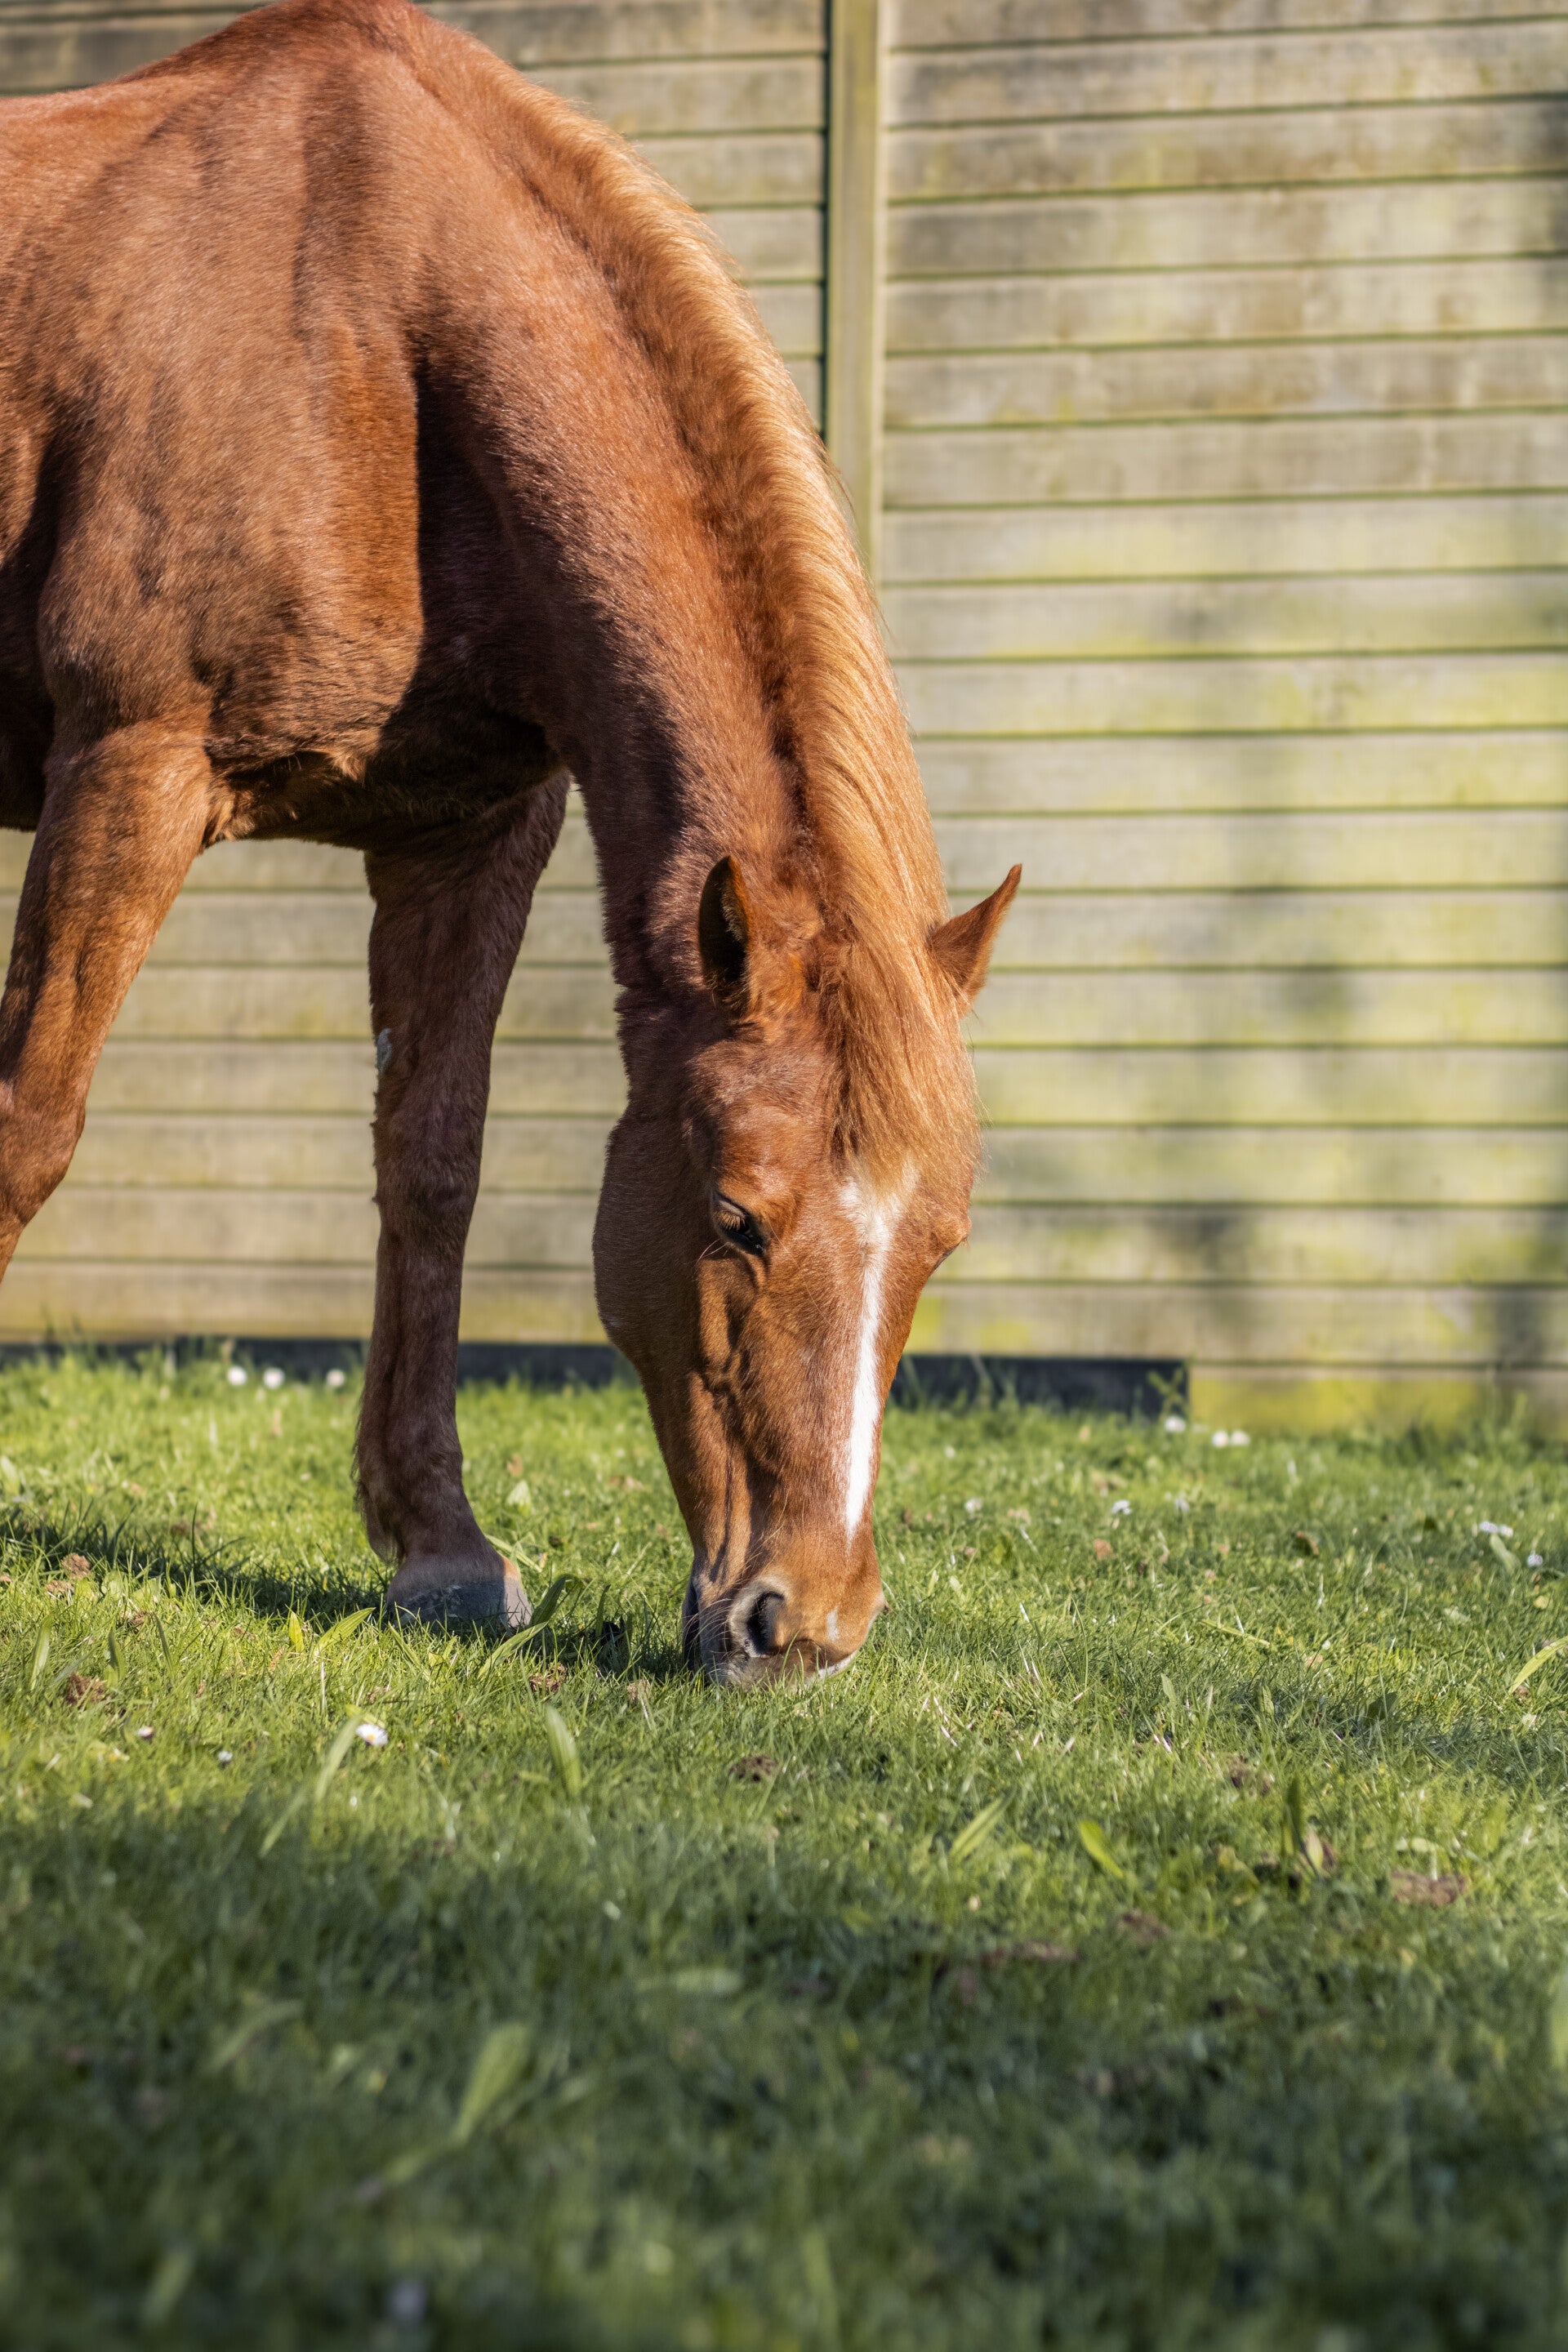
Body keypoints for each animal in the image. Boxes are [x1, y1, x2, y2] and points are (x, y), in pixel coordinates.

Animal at [0, 0, 1018, 1683]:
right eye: (735, 1217)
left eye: (940, 1243)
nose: (799, 1624)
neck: (370, 325)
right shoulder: (129, 772)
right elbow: (33, 1123)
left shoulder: (467, 835)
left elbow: (432, 1168)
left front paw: (441, 1548)